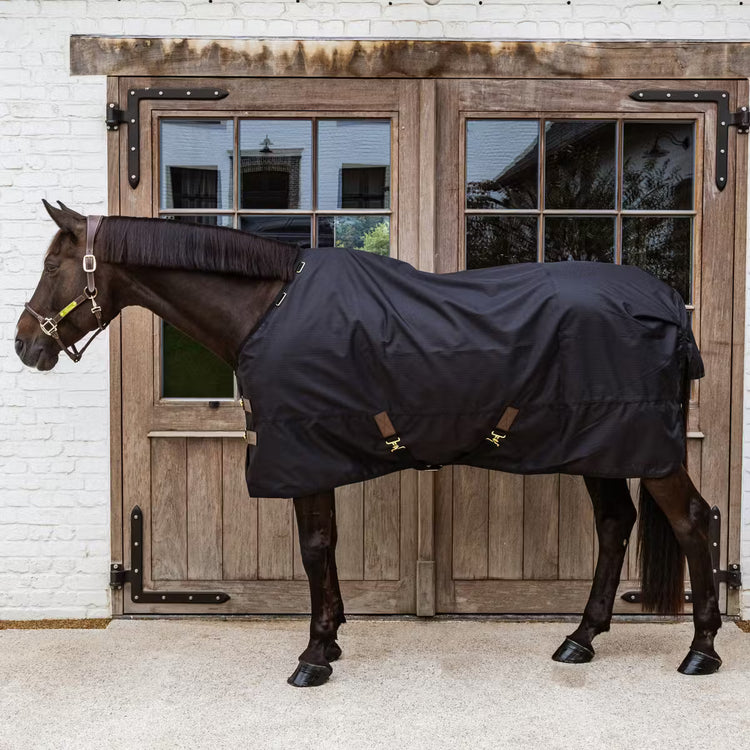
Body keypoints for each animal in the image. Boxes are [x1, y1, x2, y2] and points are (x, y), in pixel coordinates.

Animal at [14, 200, 723, 686]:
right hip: (603, 446)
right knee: (615, 524)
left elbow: (313, 548)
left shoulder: (301, 454)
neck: (269, 307)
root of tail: (665, 302)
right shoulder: (312, 454)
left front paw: (312, 657)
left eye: (52, 265)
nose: (25, 344)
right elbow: (323, 548)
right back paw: (581, 639)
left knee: (693, 520)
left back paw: (701, 651)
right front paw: (329, 642)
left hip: (643, 451)